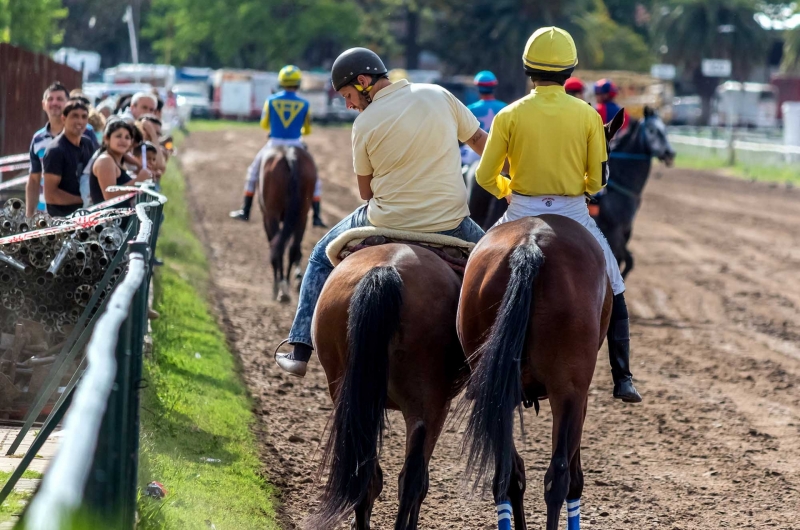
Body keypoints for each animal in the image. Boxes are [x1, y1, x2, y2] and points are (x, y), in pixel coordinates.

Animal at [258, 144, 318, 302]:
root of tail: (289, 155)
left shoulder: (267, 218)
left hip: (272, 216)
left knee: (277, 248)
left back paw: (280, 288)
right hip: (301, 216)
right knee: (293, 248)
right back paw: (286, 287)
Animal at [592, 104, 676, 276]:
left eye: (665, 128)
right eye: (652, 130)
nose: (670, 153)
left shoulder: (626, 231)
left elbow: (626, 261)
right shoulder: (613, 232)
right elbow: (625, 261)